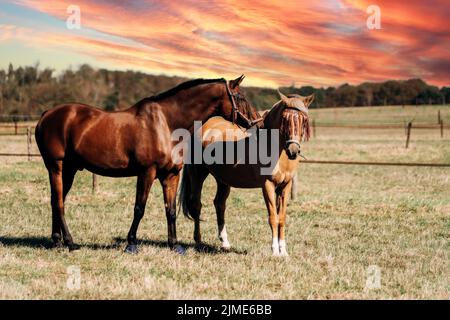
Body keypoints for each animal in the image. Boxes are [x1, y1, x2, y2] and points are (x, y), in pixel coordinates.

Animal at [35, 75, 262, 255]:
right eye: (240, 97)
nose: (257, 122)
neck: (167, 124)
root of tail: (46, 114)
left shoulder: (171, 175)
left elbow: (171, 210)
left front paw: (174, 245)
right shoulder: (147, 172)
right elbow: (139, 208)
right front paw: (131, 244)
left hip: (70, 169)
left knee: (57, 200)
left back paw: (57, 241)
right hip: (56, 166)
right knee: (59, 202)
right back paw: (70, 242)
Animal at [179, 91, 312, 256]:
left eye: (303, 120)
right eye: (285, 119)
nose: (293, 151)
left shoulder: (285, 186)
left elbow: (281, 218)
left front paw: (284, 252)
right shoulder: (267, 186)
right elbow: (273, 217)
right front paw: (275, 251)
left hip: (223, 180)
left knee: (219, 204)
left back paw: (225, 243)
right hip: (198, 174)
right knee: (196, 205)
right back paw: (198, 241)